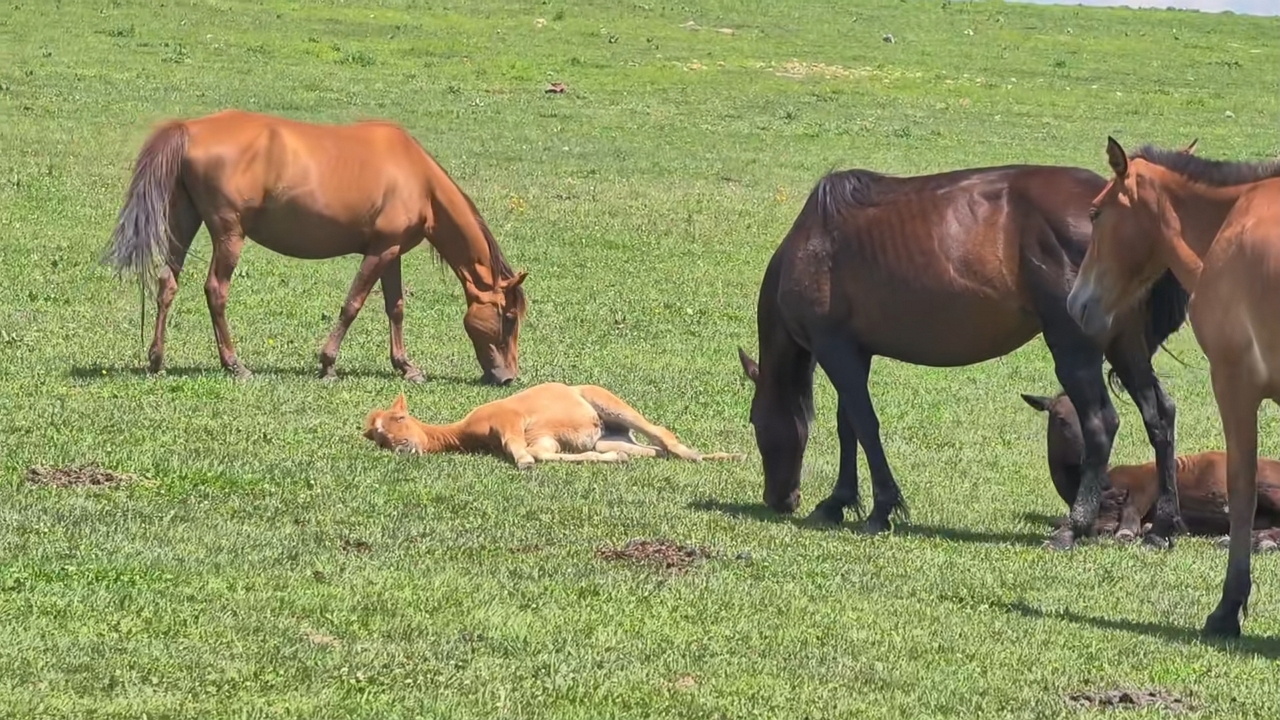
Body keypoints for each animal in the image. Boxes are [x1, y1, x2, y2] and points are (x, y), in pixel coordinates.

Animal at [101, 109, 529, 386]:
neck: (418, 178)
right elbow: (353, 305)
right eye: (508, 317)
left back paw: (157, 360)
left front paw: (406, 366)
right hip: (228, 235)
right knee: (215, 291)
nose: (508, 377)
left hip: (183, 222)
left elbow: (395, 308)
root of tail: (189, 128)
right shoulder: (379, 252)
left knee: (167, 283)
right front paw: (328, 364)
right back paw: (234, 364)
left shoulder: (391, 252)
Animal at [736, 160, 1191, 550]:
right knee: (1159, 415)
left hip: (1074, 347)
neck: (815, 242)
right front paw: (838, 501)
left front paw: (880, 508)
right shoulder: (854, 352)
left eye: (755, 422)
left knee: (1100, 424)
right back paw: (1162, 528)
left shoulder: (835, 349)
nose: (780, 499)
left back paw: (1073, 529)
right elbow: (848, 425)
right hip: (1126, 346)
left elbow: (864, 426)